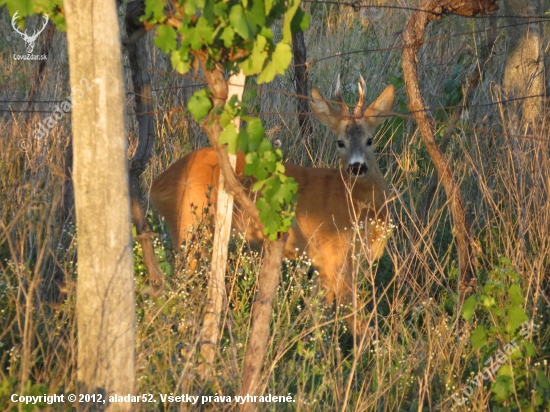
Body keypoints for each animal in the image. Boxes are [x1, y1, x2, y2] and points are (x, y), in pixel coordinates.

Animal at [151, 79, 396, 336]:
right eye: (340, 142)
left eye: (370, 140)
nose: (357, 166)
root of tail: (157, 185)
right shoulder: (336, 255)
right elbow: (352, 315)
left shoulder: (323, 264)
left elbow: (315, 312)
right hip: (190, 226)